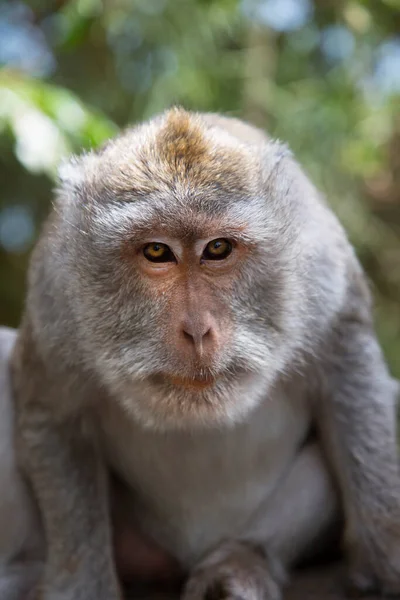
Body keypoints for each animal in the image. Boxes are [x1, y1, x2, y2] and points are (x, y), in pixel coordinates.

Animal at [8, 109, 400, 600]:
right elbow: (52, 411)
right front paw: (82, 586)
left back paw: (242, 562)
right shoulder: (54, 293)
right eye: (157, 251)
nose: (197, 330)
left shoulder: (322, 265)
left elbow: (348, 363)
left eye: (218, 248)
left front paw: (384, 561)